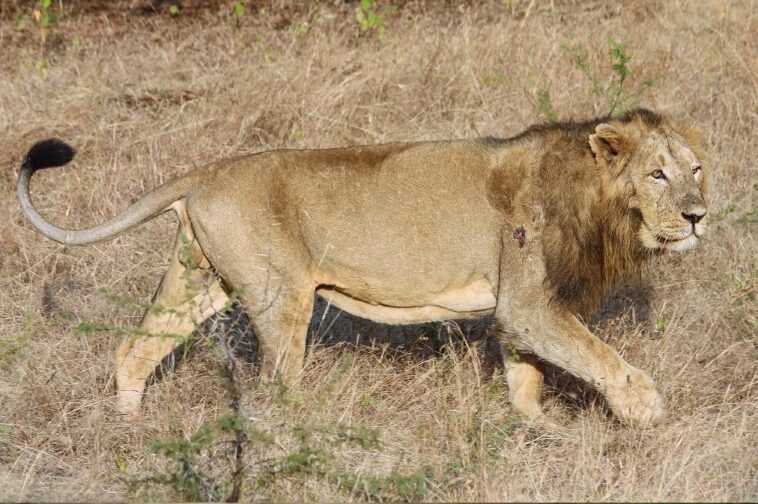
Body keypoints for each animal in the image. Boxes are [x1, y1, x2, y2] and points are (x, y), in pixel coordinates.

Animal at [17, 108, 708, 425]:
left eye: (696, 169)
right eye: (657, 174)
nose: (699, 215)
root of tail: (206, 172)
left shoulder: (520, 311)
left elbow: (526, 376)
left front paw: (539, 431)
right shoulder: (531, 303)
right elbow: (598, 355)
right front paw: (647, 411)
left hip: (198, 280)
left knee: (134, 350)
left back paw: (130, 425)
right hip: (280, 297)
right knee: (276, 384)